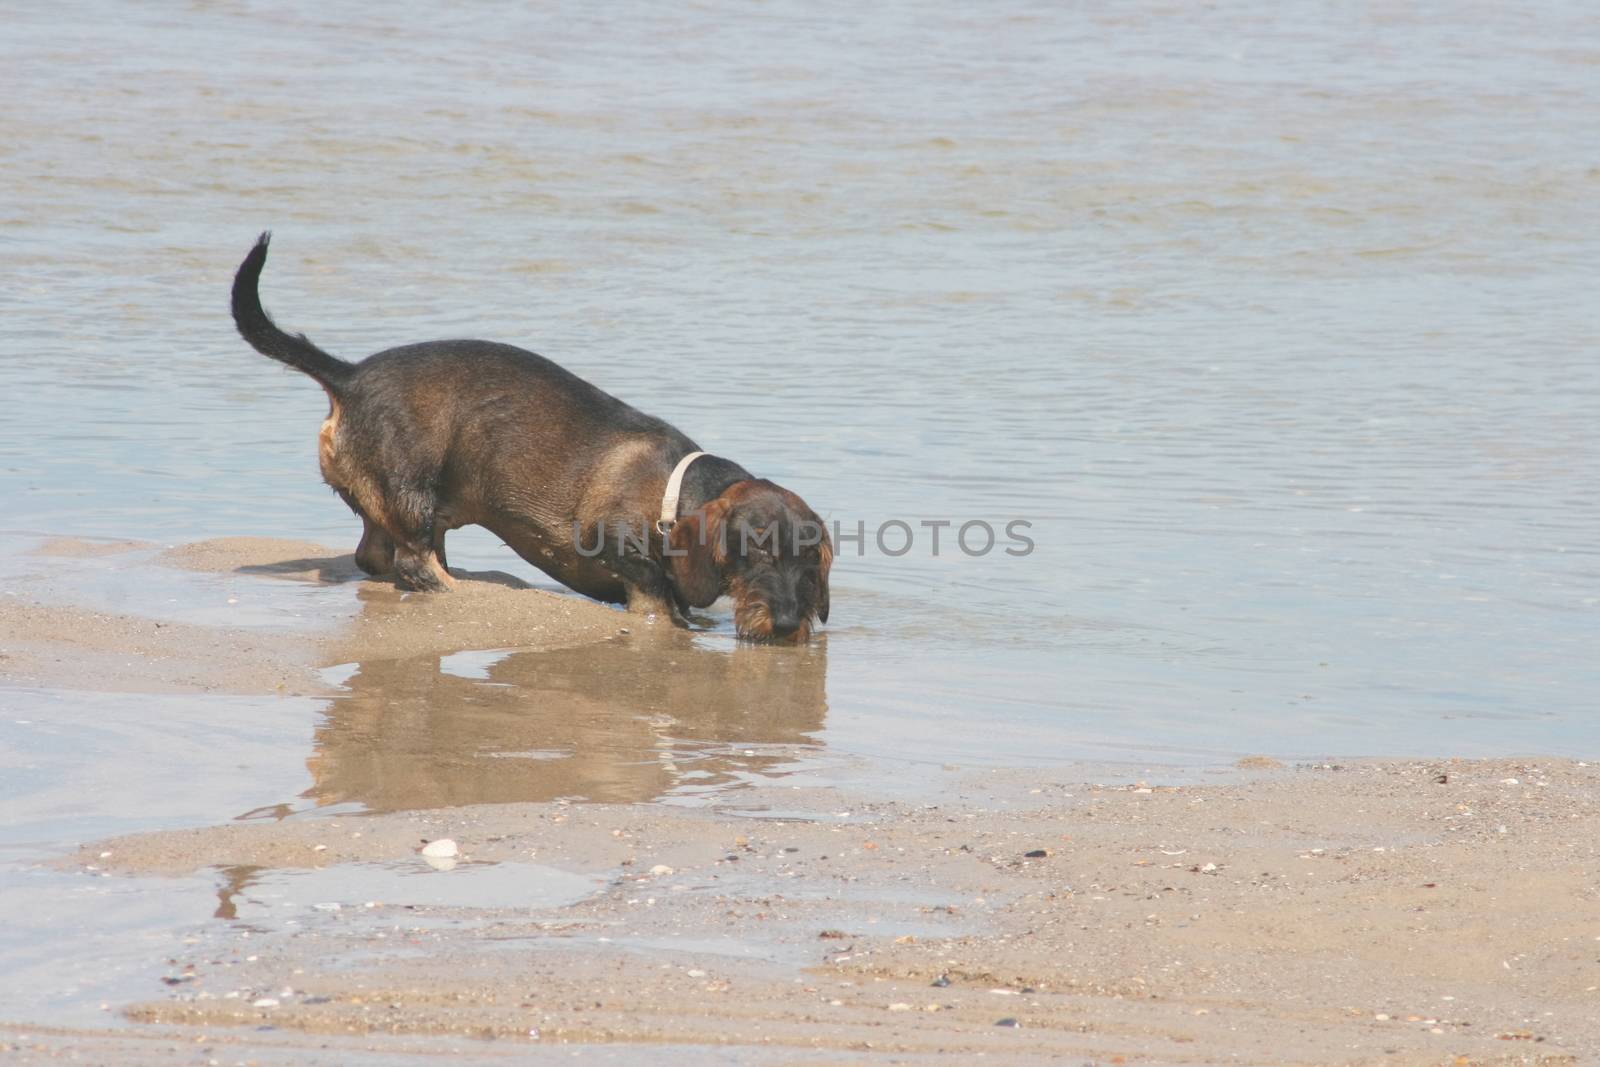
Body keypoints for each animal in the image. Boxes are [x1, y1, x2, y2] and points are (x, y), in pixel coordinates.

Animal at [232, 233, 832, 643]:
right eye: (754, 551)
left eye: (810, 559)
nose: (785, 625)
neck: (674, 490)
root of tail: (350, 376)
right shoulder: (618, 547)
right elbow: (657, 598)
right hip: (413, 489)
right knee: (413, 564)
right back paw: (470, 594)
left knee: (377, 556)